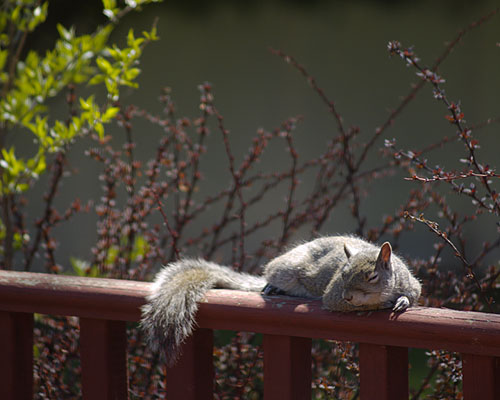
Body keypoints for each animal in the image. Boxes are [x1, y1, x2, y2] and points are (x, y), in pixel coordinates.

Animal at [141, 234, 422, 366]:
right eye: (342, 273)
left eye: (372, 276)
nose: (348, 295)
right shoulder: (332, 296)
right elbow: (340, 302)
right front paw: (384, 303)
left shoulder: (412, 284)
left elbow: (412, 294)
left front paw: (401, 302)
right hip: (286, 270)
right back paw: (272, 286)